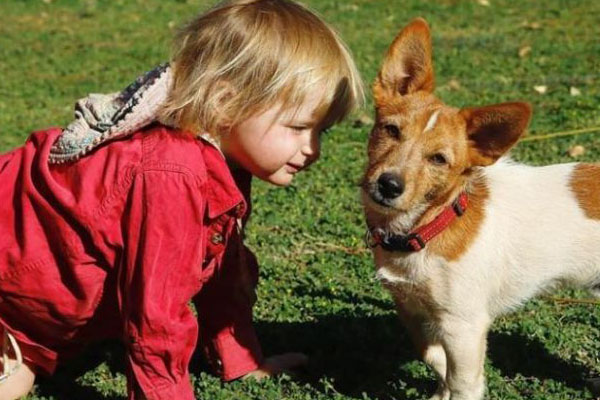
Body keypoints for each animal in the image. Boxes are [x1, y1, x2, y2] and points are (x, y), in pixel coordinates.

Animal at [360, 18, 600, 400]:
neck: (428, 228)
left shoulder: (464, 325)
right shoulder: (413, 309)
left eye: (439, 159)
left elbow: (463, 381)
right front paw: (440, 390)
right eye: (391, 130)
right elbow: (435, 358)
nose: (389, 185)